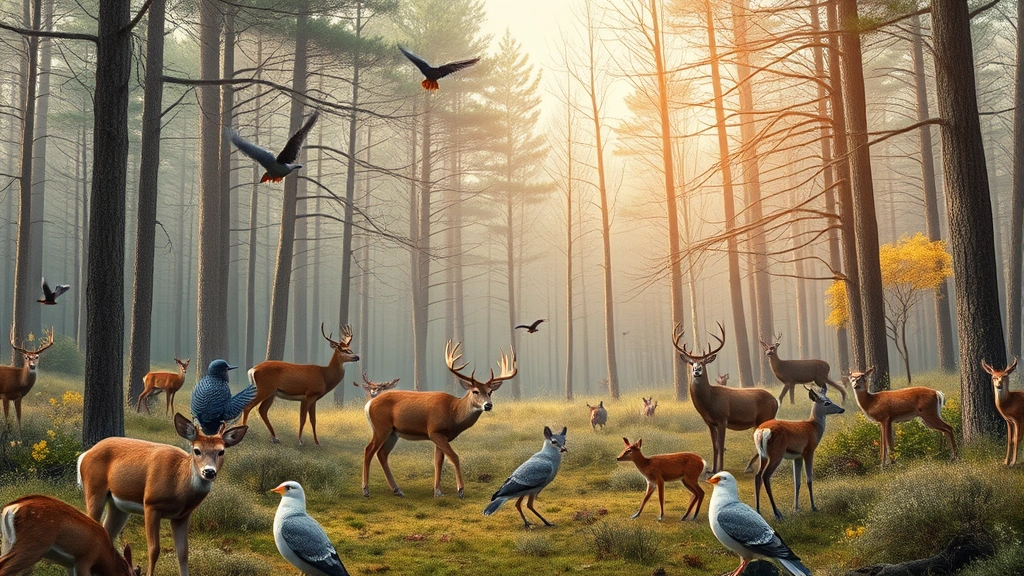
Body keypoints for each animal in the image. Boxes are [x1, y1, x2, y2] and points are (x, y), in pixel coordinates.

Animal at [77, 413, 247, 576]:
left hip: (118, 506)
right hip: (94, 490)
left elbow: (183, 553)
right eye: (197, 450)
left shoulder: (182, 516)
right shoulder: (151, 504)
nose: (209, 471)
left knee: (108, 531)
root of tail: (84, 455)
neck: (179, 486)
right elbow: (154, 549)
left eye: (221, 451)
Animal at [362, 340, 516, 499]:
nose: (488, 405)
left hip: (393, 433)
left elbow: (439, 461)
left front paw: (437, 491)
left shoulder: (442, 436)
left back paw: (397, 490)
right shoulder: (434, 431)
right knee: (369, 450)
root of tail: (368, 405)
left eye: (490, 392)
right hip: (381, 427)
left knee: (382, 454)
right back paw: (366, 490)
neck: (453, 412)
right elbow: (454, 457)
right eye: (475, 391)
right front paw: (460, 490)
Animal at [672, 323, 779, 474]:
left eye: (704, 363)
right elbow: (715, 446)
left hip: (765, 417)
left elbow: (721, 444)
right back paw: (750, 466)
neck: (710, 400)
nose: (697, 371)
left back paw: (751, 466)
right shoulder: (710, 423)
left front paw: (720, 469)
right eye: (692, 363)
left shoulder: (723, 419)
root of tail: (775, 401)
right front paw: (712, 470)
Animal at [753, 385, 845, 520]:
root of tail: (762, 430)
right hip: (776, 454)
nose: (842, 409)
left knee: (757, 475)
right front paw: (814, 507)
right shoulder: (808, 451)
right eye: (827, 402)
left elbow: (797, 482)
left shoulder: (797, 457)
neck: (813, 427)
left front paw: (796, 509)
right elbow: (809, 479)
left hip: (762, 455)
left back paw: (758, 511)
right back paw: (777, 513)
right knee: (765, 476)